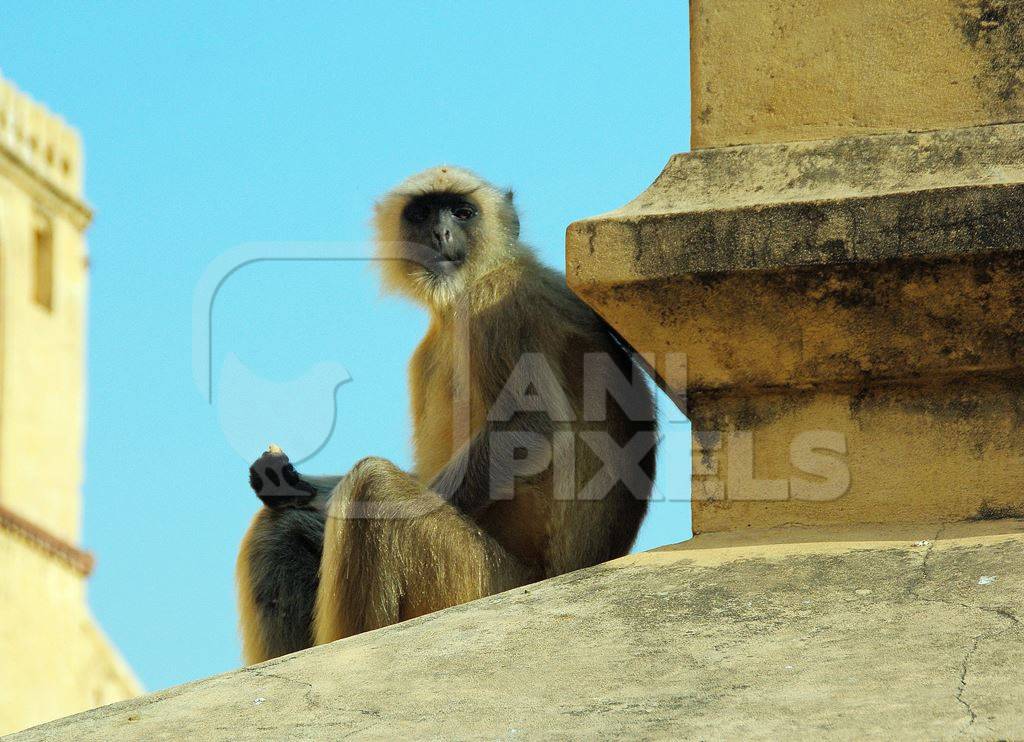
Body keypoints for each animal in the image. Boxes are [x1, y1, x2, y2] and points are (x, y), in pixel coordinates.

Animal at [235, 166, 655, 659]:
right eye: (421, 214)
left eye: (461, 212)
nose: (441, 233)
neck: (471, 284)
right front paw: (288, 482)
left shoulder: (501, 301)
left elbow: (530, 432)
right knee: (281, 527)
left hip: (479, 578)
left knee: (375, 486)